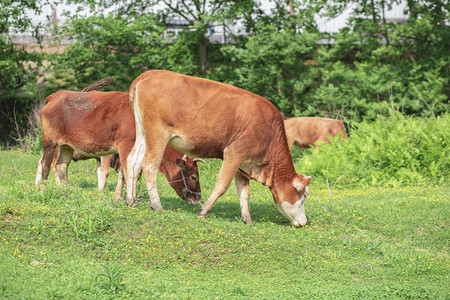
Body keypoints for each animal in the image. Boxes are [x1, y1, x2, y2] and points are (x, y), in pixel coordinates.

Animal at [125, 70, 312, 227]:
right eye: (304, 196)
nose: (304, 222)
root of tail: (150, 74)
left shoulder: (243, 163)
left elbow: (244, 191)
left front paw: (247, 219)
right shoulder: (233, 153)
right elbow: (222, 185)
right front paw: (203, 211)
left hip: (142, 133)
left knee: (133, 161)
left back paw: (130, 200)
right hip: (158, 134)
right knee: (149, 165)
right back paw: (156, 205)